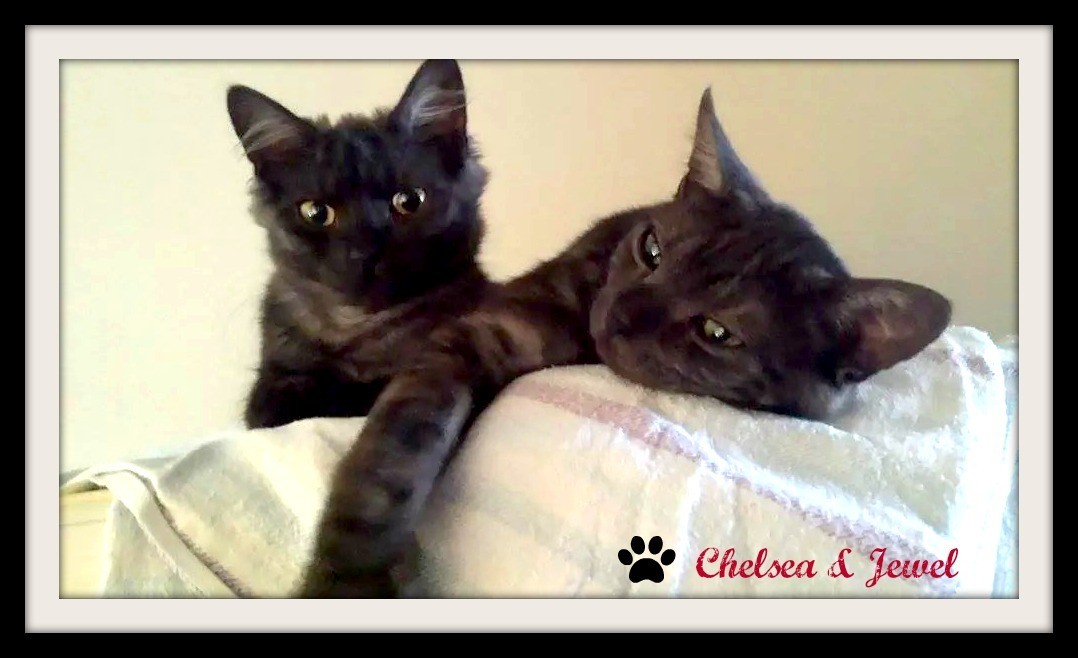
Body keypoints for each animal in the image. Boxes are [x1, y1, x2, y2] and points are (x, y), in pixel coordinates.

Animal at [225, 60, 495, 431]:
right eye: (316, 212)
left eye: (409, 201)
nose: (365, 251)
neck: (357, 329)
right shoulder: (269, 378)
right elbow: (270, 402)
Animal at [297, 87, 953, 598]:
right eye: (652, 249)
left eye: (718, 333)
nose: (622, 315)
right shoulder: (479, 334)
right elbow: (397, 452)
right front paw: (349, 576)